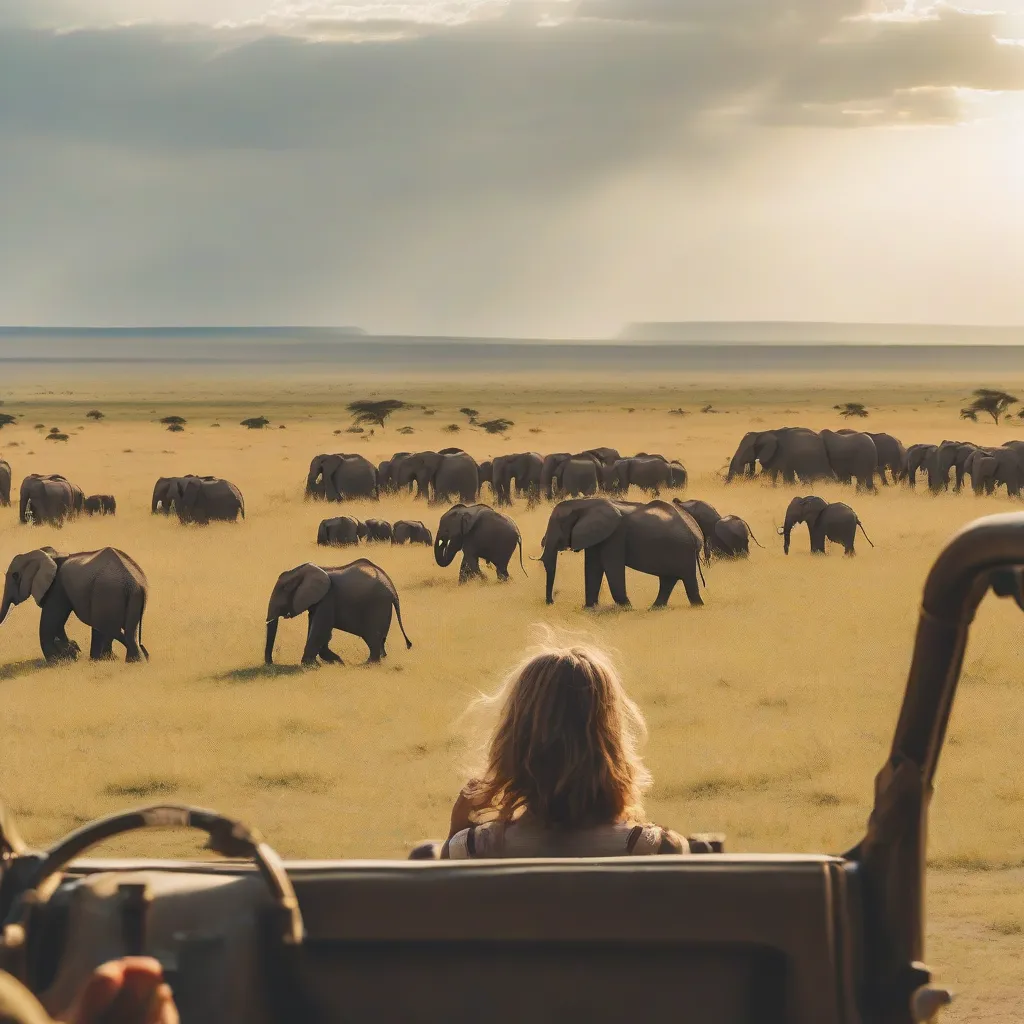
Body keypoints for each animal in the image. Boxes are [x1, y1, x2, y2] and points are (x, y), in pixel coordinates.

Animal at [0, 544, 149, 663]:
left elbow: (50, 622)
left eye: (15, 576)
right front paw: (70, 652)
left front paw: (57, 660)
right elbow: (57, 624)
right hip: (128, 596)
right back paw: (133, 659)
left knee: (107, 626)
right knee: (124, 629)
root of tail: (133, 581)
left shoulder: (56, 587)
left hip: (107, 592)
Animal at [264, 557, 411, 667]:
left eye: (285, 589)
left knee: (373, 638)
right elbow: (319, 631)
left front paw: (310, 666)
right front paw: (338, 662)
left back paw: (369, 664)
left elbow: (320, 630)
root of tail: (392, 589)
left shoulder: (328, 598)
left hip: (377, 606)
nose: (270, 663)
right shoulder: (318, 601)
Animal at [540, 497, 708, 606]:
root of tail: (697, 533)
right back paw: (654, 609)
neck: (583, 503)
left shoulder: (615, 535)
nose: (552, 601)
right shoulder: (597, 536)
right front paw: (590, 608)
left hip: (684, 552)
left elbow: (611, 567)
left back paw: (697, 607)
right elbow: (593, 567)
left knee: (688, 581)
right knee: (668, 580)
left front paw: (627, 608)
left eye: (557, 524)